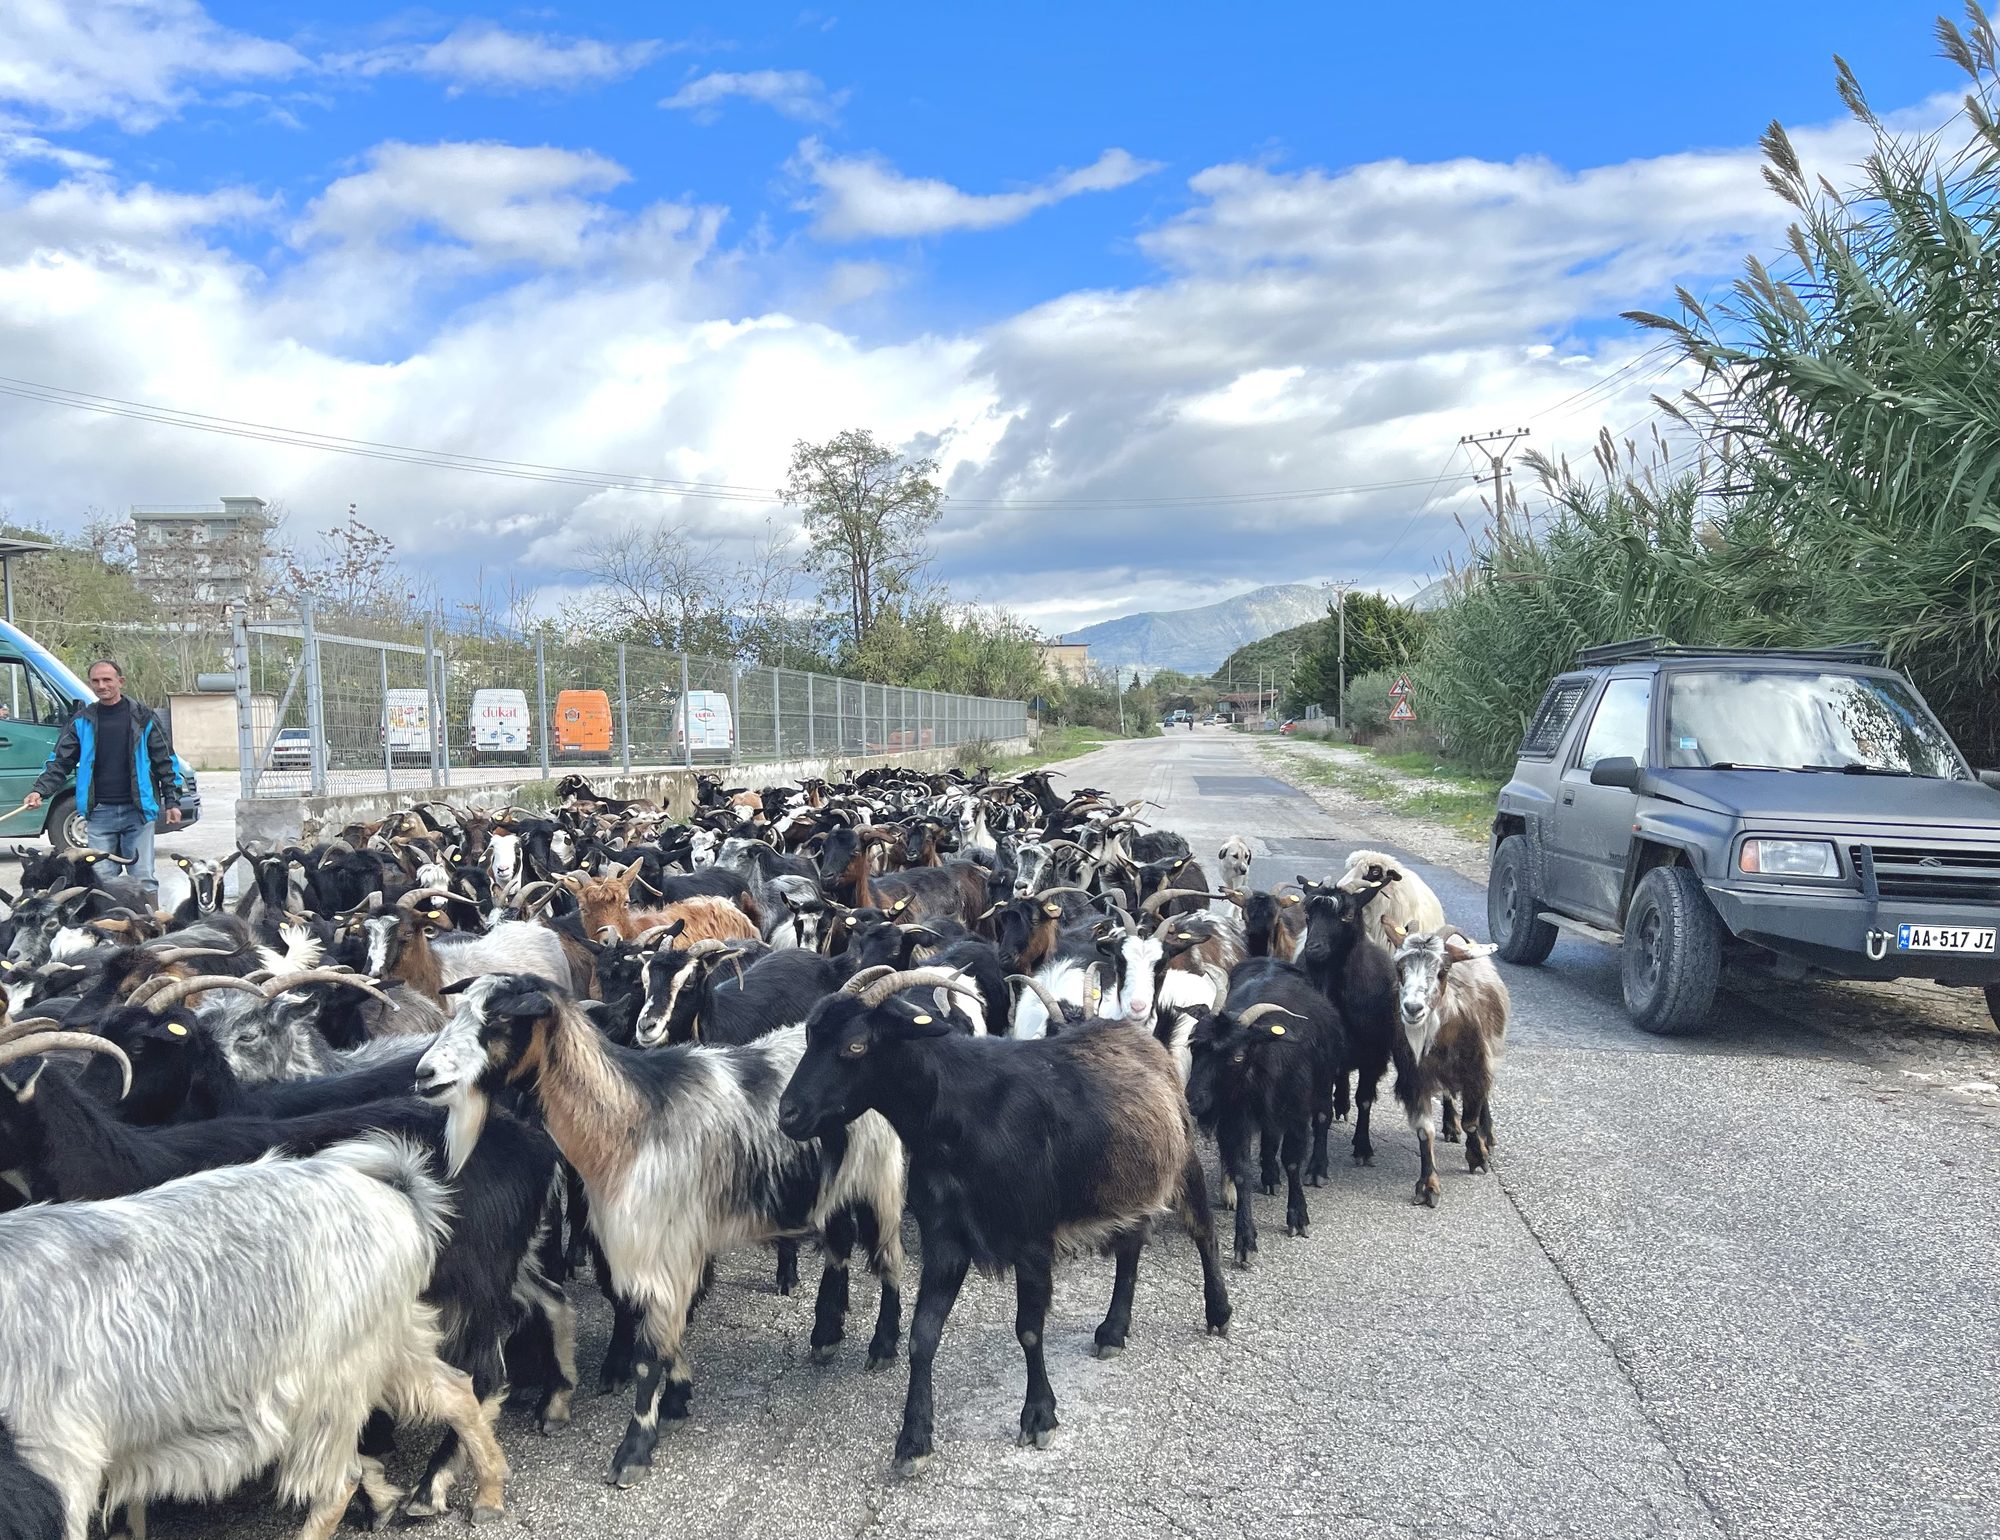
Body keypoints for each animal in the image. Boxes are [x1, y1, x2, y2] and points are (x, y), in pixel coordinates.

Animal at [0, 1126, 509, 1540]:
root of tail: (394, 1197)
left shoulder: (60, 1463)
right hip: (389, 1340)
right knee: (454, 1390)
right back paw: (485, 1494)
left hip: (336, 1377)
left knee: (338, 1480)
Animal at [415, 974, 907, 1491]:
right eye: (460, 1011)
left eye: (500, 1020)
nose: (424, 1074)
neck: (627, 1120)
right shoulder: (654, 1249)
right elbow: (667, 1339)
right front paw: (677, 1401)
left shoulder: (662, 1248)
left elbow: (651, 1353)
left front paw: (633, 1449)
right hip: (834, 1184)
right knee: (839, 1247)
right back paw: (827, 1334)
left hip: (881, 1177)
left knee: (890, 1261)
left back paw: (883, 1346)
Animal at [778, 967, 1231, 1474]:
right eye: (811, 1034)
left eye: (855, 1046)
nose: (787, 1115)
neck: (962, 1118)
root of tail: (1146, 1039)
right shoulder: (945, 1239)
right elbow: (922, 1336)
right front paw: (914, 1439)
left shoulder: (1031, 1240)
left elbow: (1029, 1330)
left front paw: (1039, 1417)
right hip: (1124, 1183)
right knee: (1131, 1247)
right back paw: (1113, 1331)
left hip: (1181, 1160)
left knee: (1204, 1232)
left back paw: (1218, 1313)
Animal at [1384, 924, 1509, 1207]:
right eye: (1400, 969)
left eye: (1442, 972)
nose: (1413, 1008)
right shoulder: (1415, 1079)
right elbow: (1424, 1131)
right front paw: (1428, 1186)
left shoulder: (1476, 1070)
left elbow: (1471, 1121)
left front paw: (1478, 1155)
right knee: (1448, 1094)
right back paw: (1451, 1125)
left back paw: (1488, 1135)